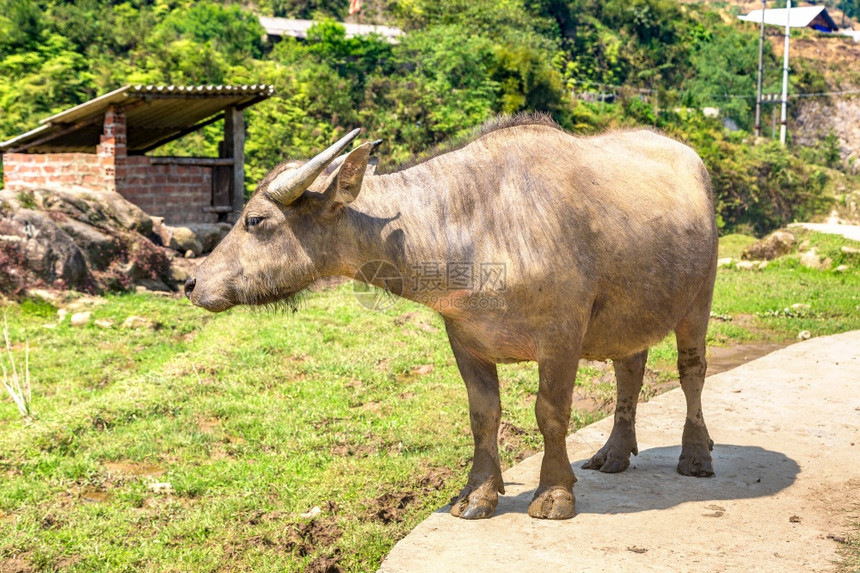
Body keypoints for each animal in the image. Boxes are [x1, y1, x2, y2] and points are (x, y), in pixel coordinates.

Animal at [188, 115, 720, 520]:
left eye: (255, 220)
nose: (192, 283)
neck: (476, 225)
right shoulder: (464, 341)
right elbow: (483, 416)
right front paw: (477, 494)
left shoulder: (561, 338)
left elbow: (550, 414)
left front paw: (553, 494)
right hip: (630, 314)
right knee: (630, 369)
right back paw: (614, 452)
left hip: (699, 299)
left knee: (691, 372)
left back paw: (695, 454)